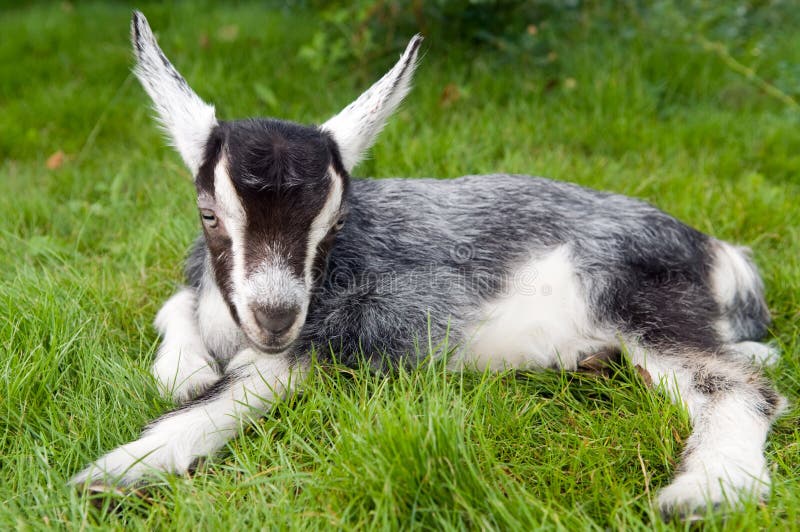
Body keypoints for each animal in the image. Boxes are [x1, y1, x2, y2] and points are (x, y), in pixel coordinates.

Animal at [72, 11, 786, 518]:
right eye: (209, 214)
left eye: (336, 221)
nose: (274, 316)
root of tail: (715, 249)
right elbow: (177, 314)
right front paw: (181, 369)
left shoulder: (329, 340)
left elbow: (235, 394)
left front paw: (117, 471)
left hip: (638, 298)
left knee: (739, 386)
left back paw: (708, 492)